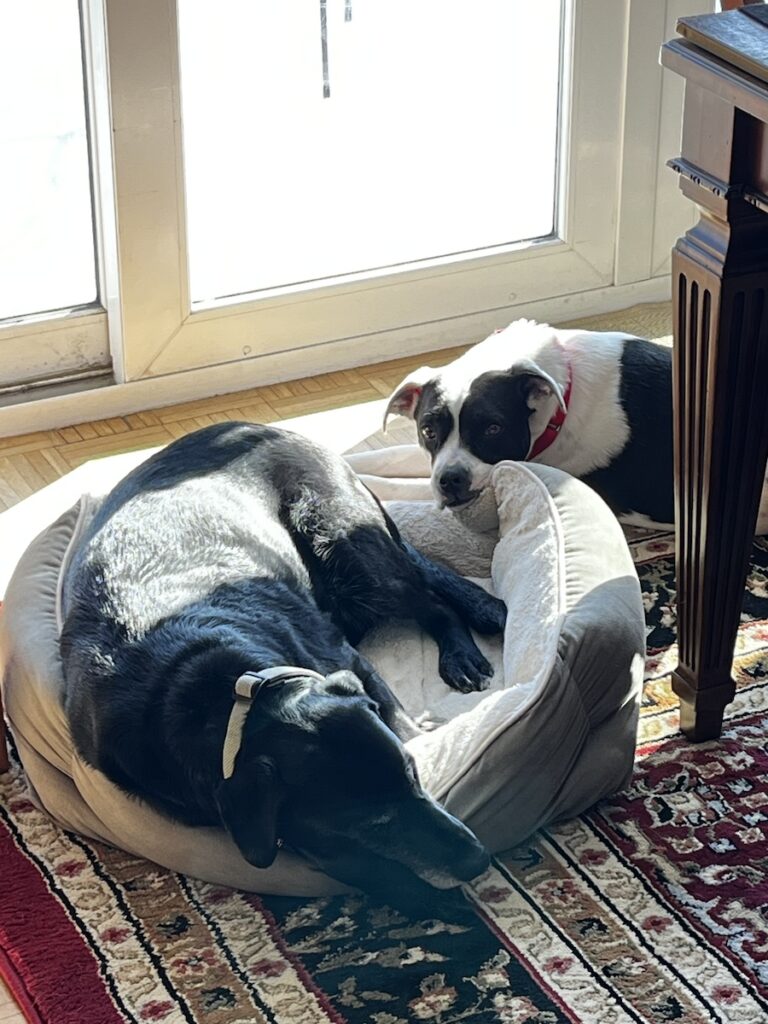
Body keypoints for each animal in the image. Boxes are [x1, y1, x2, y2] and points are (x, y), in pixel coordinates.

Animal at [60, 419, 505, 909]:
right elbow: (358, 864)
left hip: (348, 548)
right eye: (375, 822)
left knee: (433, 599)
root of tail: (262, 428)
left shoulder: (346, 661)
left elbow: (399, 720)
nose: (481, 858)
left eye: (413, 773)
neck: (214, 686)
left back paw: (464, 654)